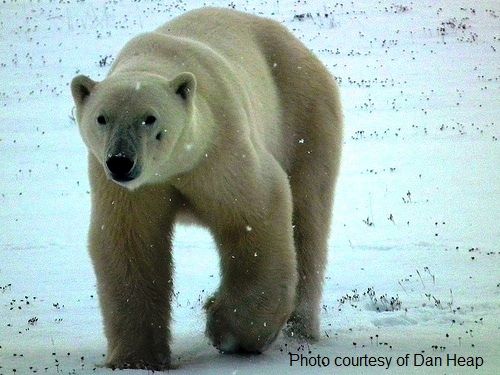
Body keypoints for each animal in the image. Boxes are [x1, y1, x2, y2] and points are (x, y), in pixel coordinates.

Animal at [70, 7, 342, 372]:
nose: (121, 162)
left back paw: (301, 328)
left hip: (305, 116)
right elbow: (130, 242)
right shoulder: (129, 189)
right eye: (102, 118)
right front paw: (135, 358)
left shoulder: (219, 150)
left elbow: (255, 212)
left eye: (149, 118)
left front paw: (227, 330)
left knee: (309, 217)